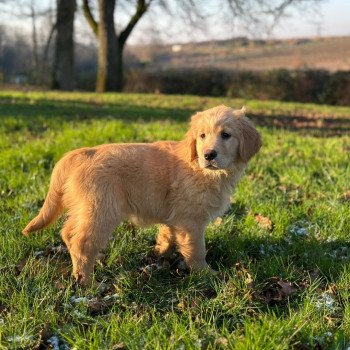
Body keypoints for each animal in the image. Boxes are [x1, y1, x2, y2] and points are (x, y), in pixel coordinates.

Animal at [23, 105, 262, 286]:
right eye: (202, 136)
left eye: (226, 135)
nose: (208, 155)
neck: (202, 170)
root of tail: (80, 153)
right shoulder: (190, 221)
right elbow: (197, 250)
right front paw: (206, 274)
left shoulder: (174, 217)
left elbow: (166, 235)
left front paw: (159, 254)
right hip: (102, 210)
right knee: (82, 242)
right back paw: (88, 282)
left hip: (86, 208)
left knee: (68, 233)